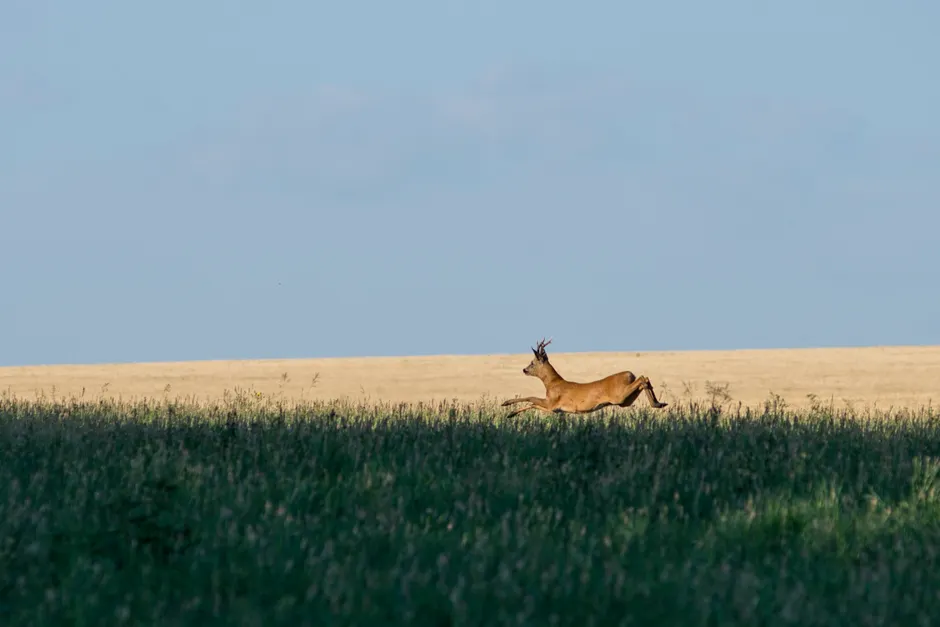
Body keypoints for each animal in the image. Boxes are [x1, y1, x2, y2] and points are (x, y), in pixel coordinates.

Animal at [501, 338, 668, 419]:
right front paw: (510, 414)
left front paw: (506, 405)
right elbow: (533, 404)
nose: (524, 370)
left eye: (532, 362)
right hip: (624, 401)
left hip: (619, 396)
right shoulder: (553, 409)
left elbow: (531, 398)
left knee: (642, 378)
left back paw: (658, 403)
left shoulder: (551, 402)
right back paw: (659, 403)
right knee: (644, 380)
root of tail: (629, 374)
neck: (552, 383)